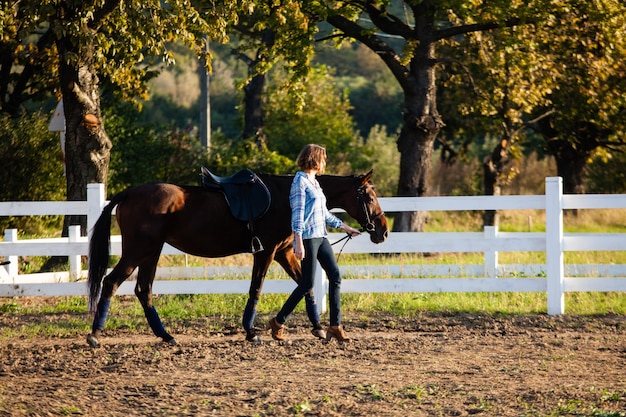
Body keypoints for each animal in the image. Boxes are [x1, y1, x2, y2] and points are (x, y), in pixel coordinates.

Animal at [83, 171, 386, 346]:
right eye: (370, 196)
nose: (382, 231)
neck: (285, 198)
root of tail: (129, 193)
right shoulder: (266, 252)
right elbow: (257, 289)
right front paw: (252, 331)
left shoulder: (285, 253)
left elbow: (306, 286)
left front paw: (318, 328)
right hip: (137, 251)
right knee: (111, 283)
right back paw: (95, 335)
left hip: (151, 251)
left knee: (143, 289)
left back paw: (166, 336)